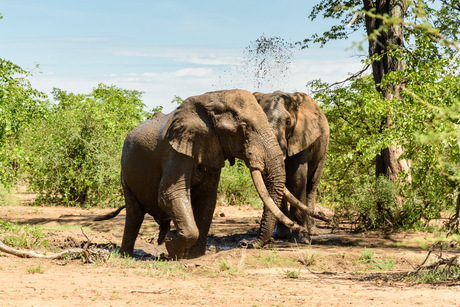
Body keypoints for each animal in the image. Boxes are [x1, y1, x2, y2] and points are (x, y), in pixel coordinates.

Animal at [113, 89, 312, 260]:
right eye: (244, 128)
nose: (245, 244)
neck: (210, 100)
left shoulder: (212, 149)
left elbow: (207, 199)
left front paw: (192, 256)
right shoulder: (174, 151)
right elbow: (169, 194)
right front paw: (172, 244)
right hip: (125, 173)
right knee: (134, 213)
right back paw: (127, 255)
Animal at [252, 91, 330, 245]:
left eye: (288, 122)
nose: (246, 243)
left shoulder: (301, 136)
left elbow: (297, 178)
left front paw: (301, 240)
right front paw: (282, 236)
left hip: (323, 149)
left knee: (312, 185)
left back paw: (312, 232)